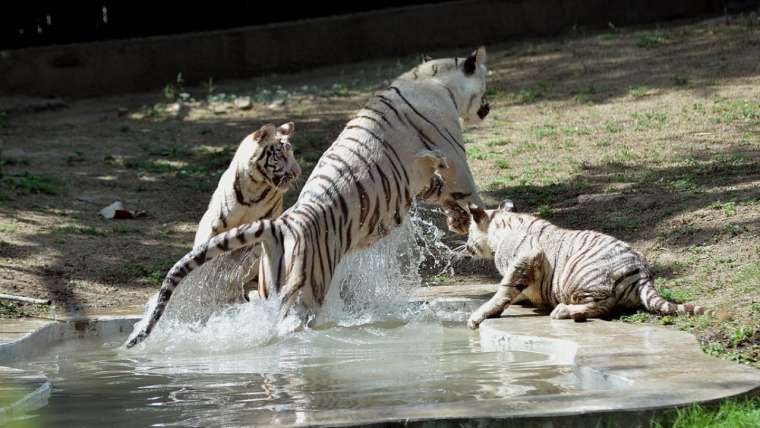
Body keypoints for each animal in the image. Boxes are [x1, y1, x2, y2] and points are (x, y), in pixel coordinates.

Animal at [127, 46, 490, 348]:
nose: (488, 107)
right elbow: (468, 190)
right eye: (486, 85)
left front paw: (459, 220)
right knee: (290, 322)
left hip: (270, 286)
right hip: (308, 287)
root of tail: (280, 224)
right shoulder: (452, 151)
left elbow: (440, 190)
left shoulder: (420, 176)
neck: (435, 80)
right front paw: (484, 224)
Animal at [464, 199, 708, 330]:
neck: (501, 229)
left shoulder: (526, 258)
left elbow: (504, 289)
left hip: (577, 278)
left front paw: (478, 316)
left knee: (602, 307)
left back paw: (564, 311)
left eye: (468, 231)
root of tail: (642, 271)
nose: (466, 246)